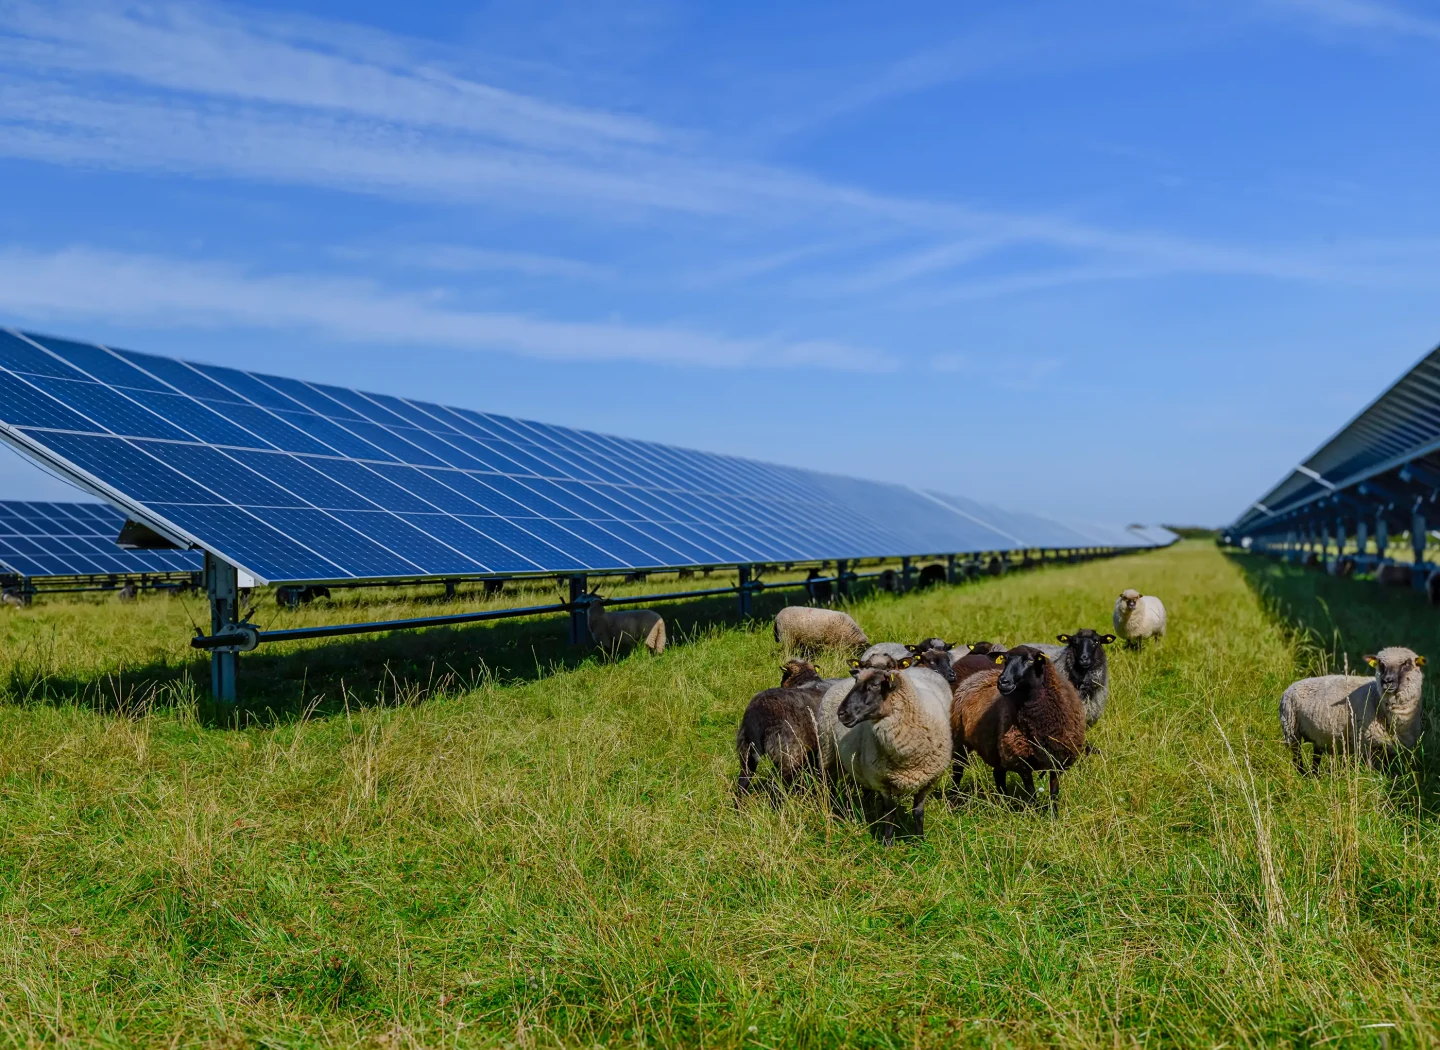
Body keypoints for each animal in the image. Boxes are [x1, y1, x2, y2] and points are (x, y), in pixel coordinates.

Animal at [823, 656, 956, 841]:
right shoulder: (882, 780)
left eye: (875, 685)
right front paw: (887, 842)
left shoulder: (930, 780)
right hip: (828, 752)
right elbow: (889, 813)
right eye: (856, 682)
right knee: (830, 784)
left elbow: (918, 812)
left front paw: (920, 841)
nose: (841, 713)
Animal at [950, 648, 1082, 812]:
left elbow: (1054, 793)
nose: (1002, 681)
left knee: (998, 774)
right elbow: (1031, 794)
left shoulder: (1057, 758)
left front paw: (1054, 815)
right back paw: (953, 800)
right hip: (960, 741)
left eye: (1031, 660)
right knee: (957, 771)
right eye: (1005, 660)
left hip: (996, 748)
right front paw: (1034, 815)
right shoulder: (1020, 758)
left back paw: (1004, 804)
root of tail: (974, 676)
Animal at [1278, 639, 1422, 772]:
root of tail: (1292, 686)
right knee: (1296, 756)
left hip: (1317, 735)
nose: (1387, 681)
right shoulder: (1365, 743)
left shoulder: (1391, 749)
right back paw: (1302, 774)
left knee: (1316, 756)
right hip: (1291, 730)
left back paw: (1314, 776)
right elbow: (1370, 771)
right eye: (1380, 664)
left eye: (1407, 663)